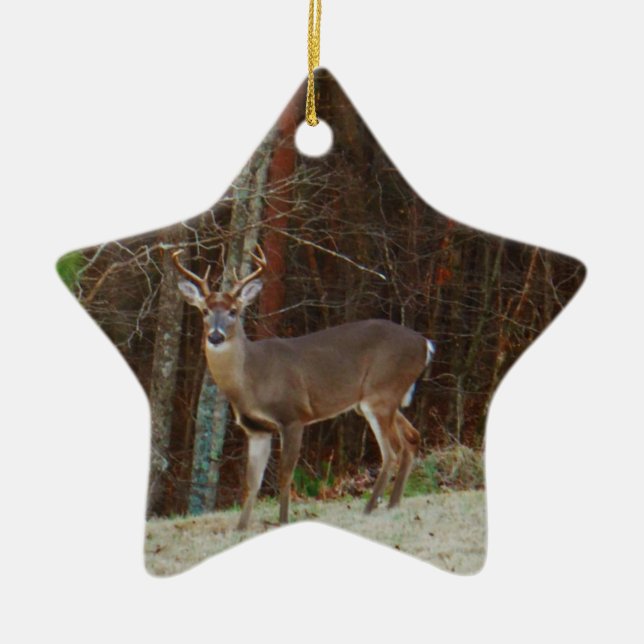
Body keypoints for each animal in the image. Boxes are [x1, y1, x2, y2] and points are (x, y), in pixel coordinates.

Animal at [172, 245, 435, 530]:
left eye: (233, 311)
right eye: (205, 311)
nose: (216, 336)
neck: (251, 379)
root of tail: (425, 344)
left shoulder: (293, 416)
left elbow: (285, 475)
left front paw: (283, 521)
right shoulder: (256, 429)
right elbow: (251, 482)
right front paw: (241, 528)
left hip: (380, 393)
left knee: (391, 451)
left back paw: (369, 508)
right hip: (381, 399)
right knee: (411, 438)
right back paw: (392, 504)